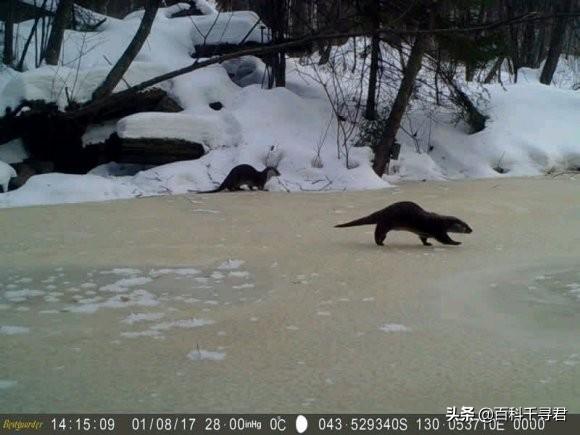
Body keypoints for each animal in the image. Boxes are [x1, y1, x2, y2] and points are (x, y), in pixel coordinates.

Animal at [336, 202, 472, 247]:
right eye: (465, 226)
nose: (472, 230)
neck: (442, 221)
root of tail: (383, 210)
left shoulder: (424, 232)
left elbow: (423, 238)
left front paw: (427, 244)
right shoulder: (438, 230)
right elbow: (445, 239)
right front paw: (457, 242)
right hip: (386, 222)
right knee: (378, 232)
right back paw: (380, 243)